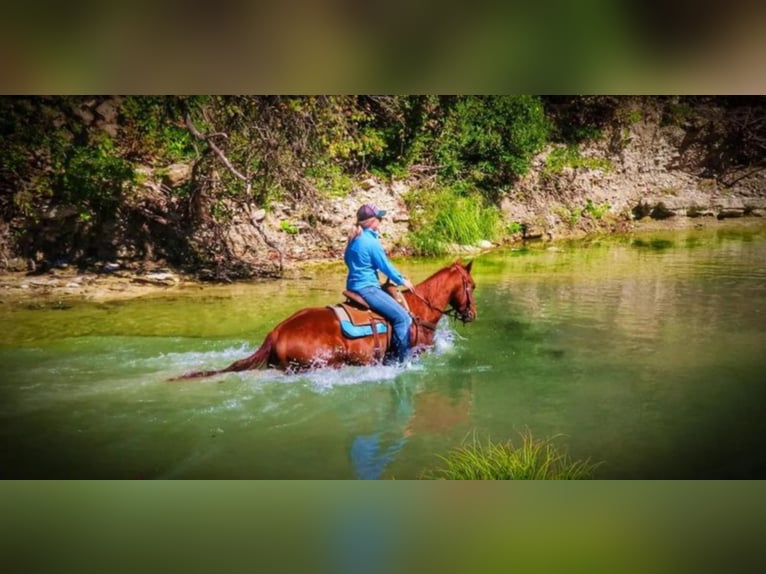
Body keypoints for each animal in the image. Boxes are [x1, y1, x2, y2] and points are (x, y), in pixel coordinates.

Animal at [171, 260, 476, 378]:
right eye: (471, 285)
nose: (472, 315)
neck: (417, 310)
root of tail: (276, 332)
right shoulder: (417, 351)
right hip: (329, 363)